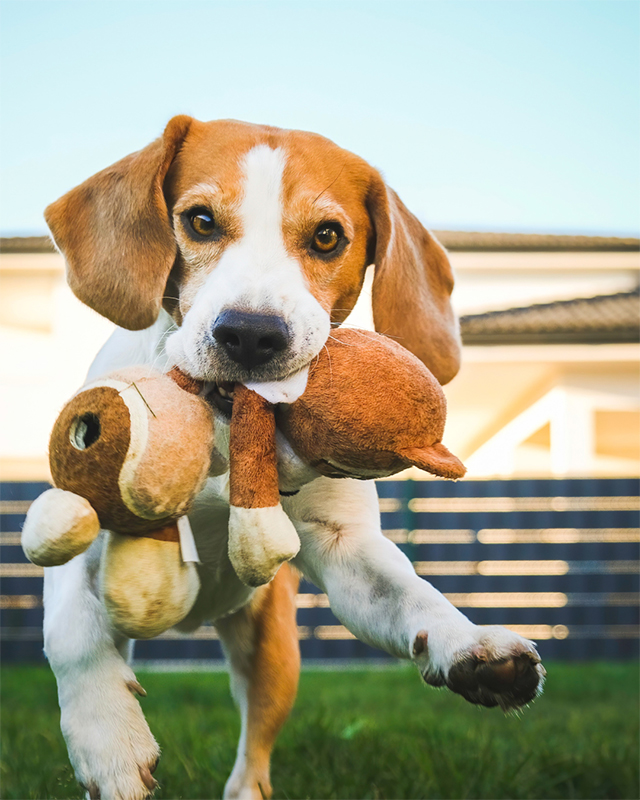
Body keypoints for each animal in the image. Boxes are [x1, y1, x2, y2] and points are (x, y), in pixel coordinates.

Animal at [42, 117, 544, 800]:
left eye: (328, 236)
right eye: (200, 221)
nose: (251, 333)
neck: (225, 432)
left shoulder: (344, 549)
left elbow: (413, 594)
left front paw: (468, 646)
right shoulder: (81, 526)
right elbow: (70, 634)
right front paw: (107, 738)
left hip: (273, 651)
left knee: (254, 748)